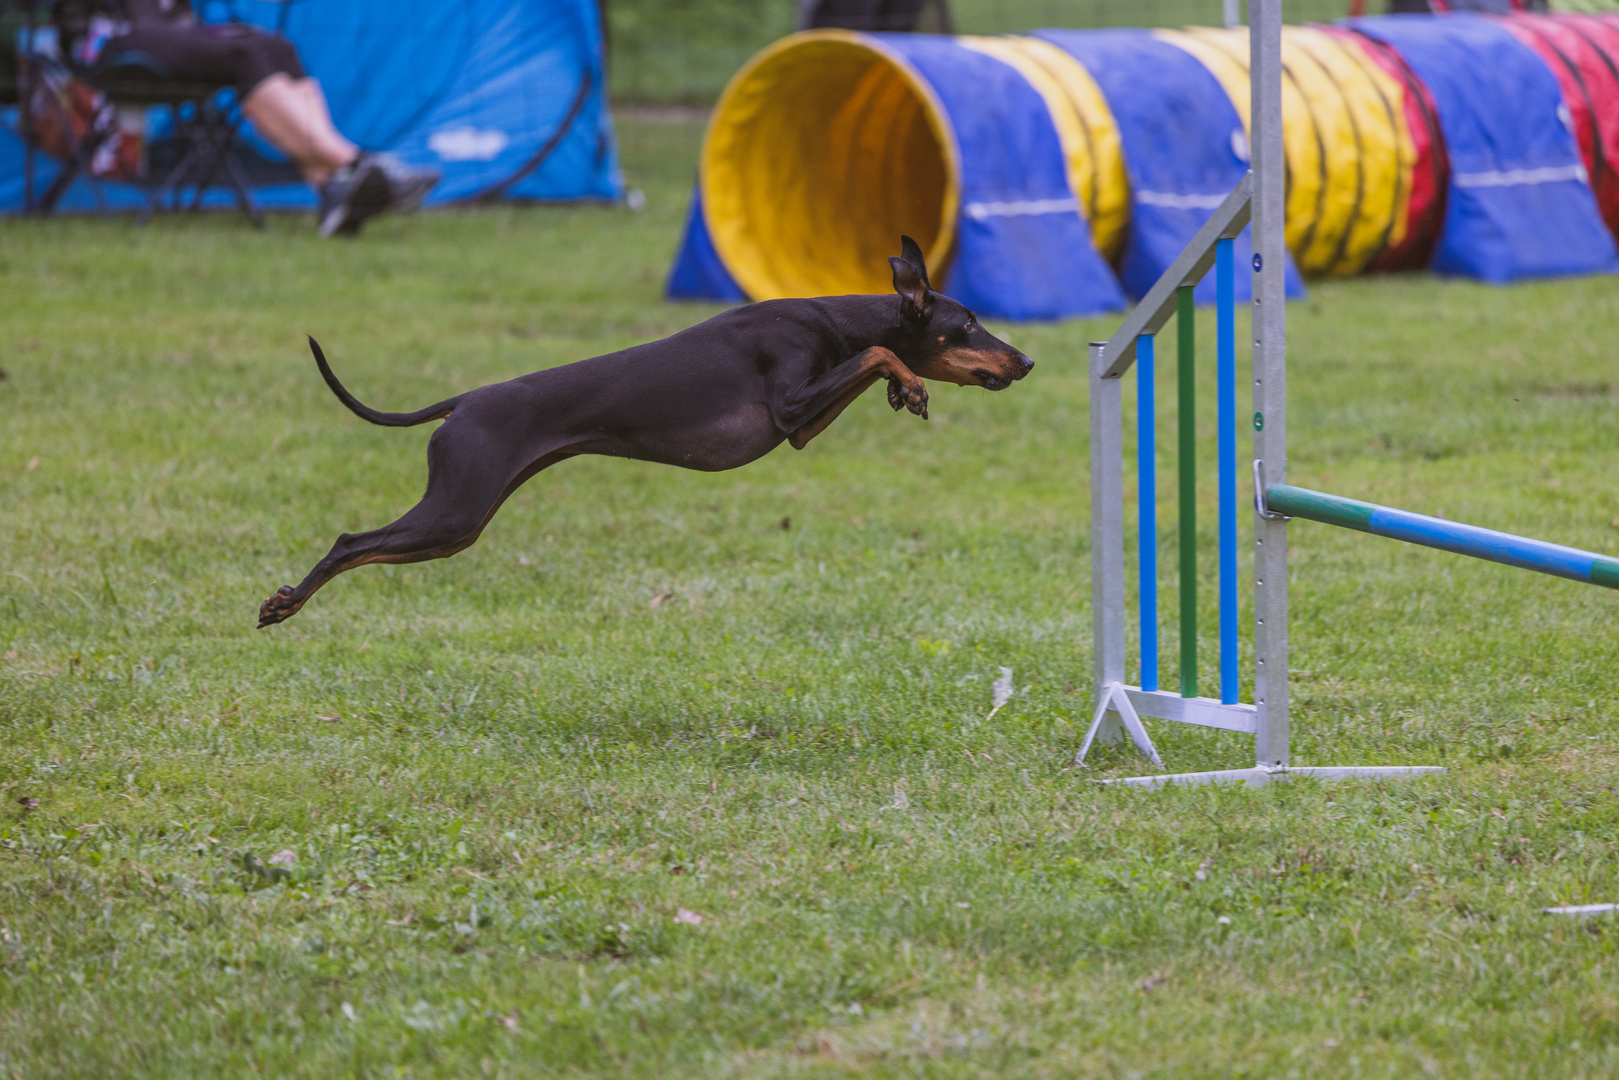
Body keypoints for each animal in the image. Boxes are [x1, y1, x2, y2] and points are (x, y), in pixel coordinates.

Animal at [257, 236, 1029, 625]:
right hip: (454, 510)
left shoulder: (800, 429)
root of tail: (462, 403)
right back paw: (283, 602)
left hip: (459, 526)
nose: (1024, 360)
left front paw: (904, 389)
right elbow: (876, 352)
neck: (831, 315)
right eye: (966, 324)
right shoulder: (789, 403)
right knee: (350, 542)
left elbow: (869, 360)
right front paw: (911, 382)